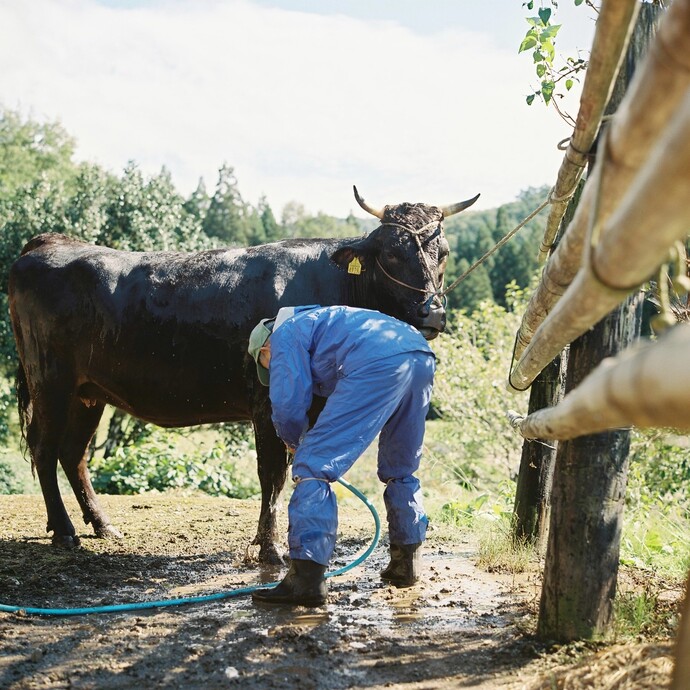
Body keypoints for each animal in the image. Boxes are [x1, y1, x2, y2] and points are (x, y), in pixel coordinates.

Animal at [6, 185, 478, 560]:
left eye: (443, 254)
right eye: (393, 254)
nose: (433, 312)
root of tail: (49, 243)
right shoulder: (267, 401)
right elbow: (272, 474)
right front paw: (270, 548)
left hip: (89, 392)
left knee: (74, 454)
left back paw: (102, 525)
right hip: (51, 381)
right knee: (45, 451)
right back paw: (65, 531)